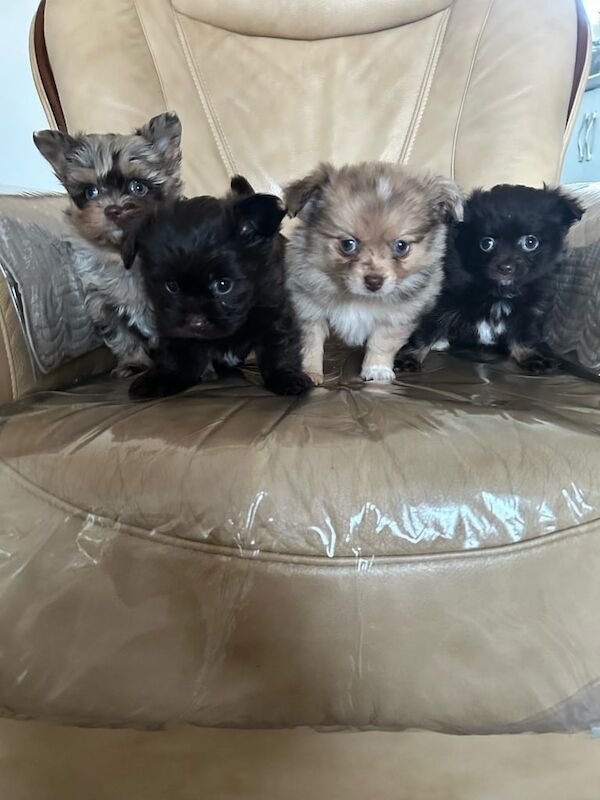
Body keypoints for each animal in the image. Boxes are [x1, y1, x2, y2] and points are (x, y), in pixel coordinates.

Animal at [33, 111, 183, 376]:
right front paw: (134, 363)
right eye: (91, 192)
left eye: (138, 187)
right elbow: (122, 337)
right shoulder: (102, 304)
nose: (113, 209)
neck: (121, 254)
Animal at [120, 176, 313, 400]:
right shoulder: (172, 326)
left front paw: (286, 377)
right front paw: (162, 377)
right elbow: (176, 354)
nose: (195, 322)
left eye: (223, 285)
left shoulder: (274, 310)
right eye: (171, 287)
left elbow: (278, 347)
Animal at [283, 162, 464, 384]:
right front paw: (310, 373)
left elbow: (382, 341)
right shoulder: (308, 309)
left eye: (401, 246)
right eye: (348, 244)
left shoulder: (398, 315)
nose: (374, 282)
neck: (359, 298)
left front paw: (377, 370)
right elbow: (311, 345)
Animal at [394, 184, 584, 374]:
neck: (499, 291)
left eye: (530, 242)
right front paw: (408, 358)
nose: (506, 268)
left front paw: (531, 356)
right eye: (486, 243)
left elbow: (524, 334)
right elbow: (426, 331)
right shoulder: (442, 302)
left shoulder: (528, 311)